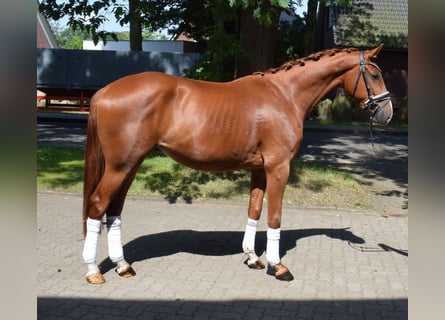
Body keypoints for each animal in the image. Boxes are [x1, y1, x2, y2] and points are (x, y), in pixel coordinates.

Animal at [81, 44, 390, 282]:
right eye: (374, 74)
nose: (387, 112)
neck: (284, 95)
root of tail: (104, 91)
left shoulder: (259, 169)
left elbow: (254, 211)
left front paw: (253, 257)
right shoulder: (278, 167)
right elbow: (274, 216)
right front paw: (278, 266)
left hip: (129, 166)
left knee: (114, 210)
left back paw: (122, 265)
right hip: (120, 167)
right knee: (97, 204)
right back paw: (93, 270)